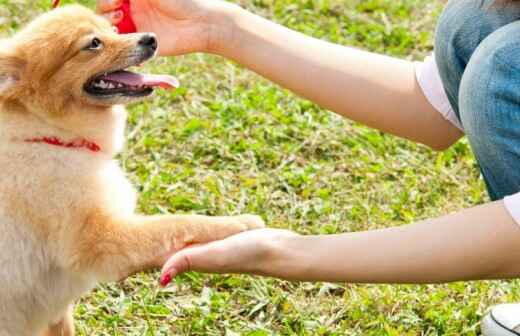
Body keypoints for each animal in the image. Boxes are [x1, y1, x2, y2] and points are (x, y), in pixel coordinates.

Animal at [0, 5, 262, 336]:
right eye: (93, 43)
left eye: (113, 29)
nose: (150, 38)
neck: (51, 136)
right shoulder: (102, 239)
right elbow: (177, 223)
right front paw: (237, 224)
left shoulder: (57, 311)